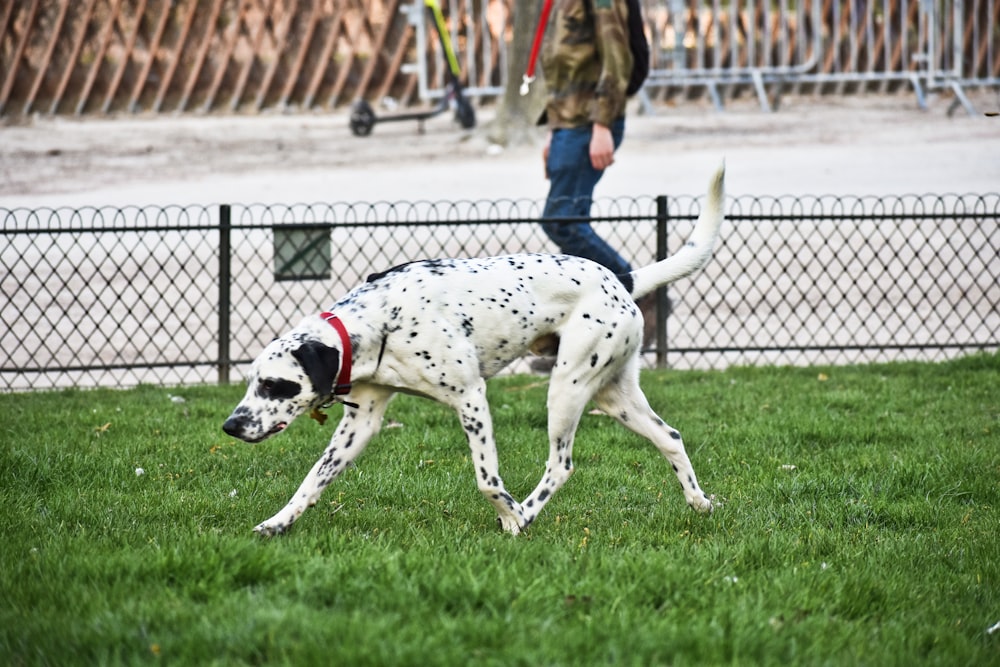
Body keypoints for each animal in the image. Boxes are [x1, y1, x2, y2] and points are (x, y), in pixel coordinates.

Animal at [225, 167, 728, 536]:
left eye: (275, 384)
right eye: (251, 381)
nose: (231, 426)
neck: (380, 319)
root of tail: (621, 280)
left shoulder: (471, 398)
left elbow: (487, 480)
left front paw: (509, 514)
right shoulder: (362, 420)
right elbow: (313, 478)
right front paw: (278, 522)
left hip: (567, 389)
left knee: (561, 465)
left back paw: (525, 513)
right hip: (614, 396)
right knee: (671, 438)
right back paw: (700, 503)